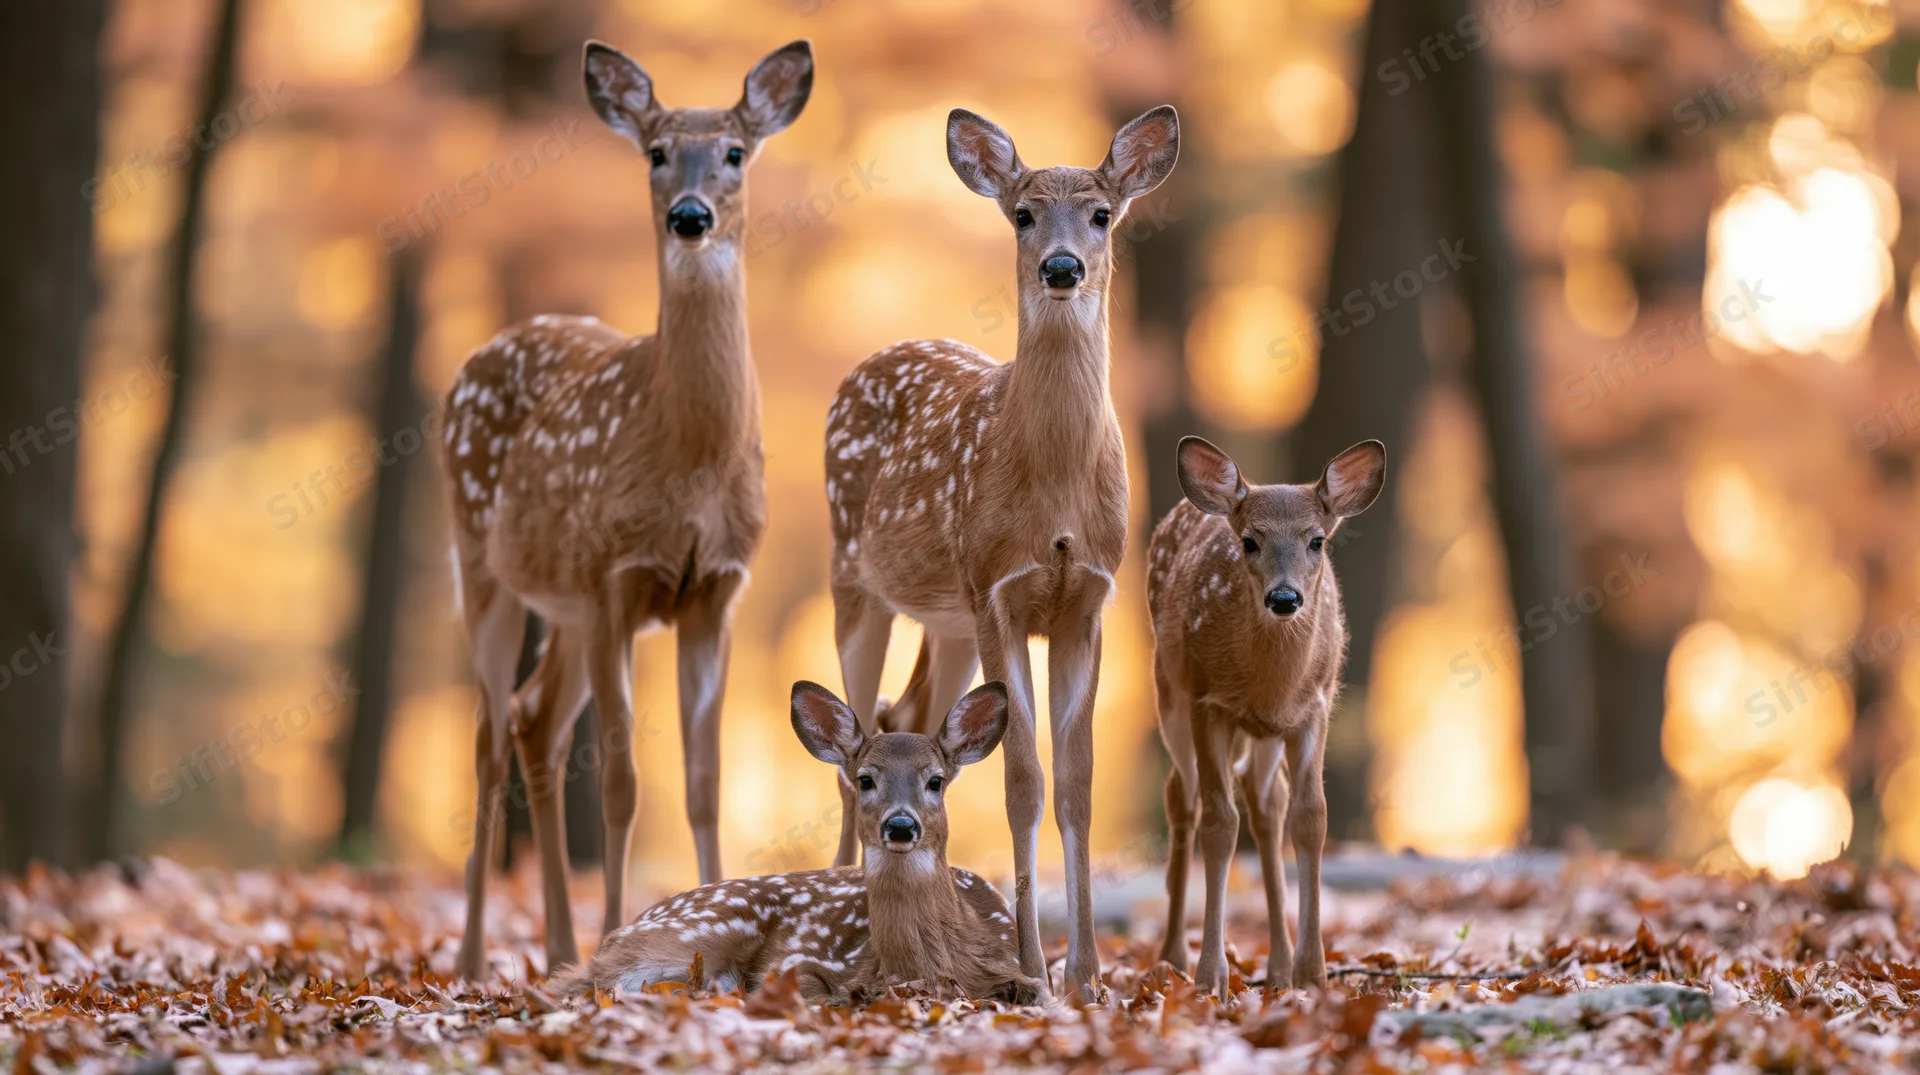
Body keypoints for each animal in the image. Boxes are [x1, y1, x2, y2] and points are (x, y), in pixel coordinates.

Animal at [440, 39, 813, 981]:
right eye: (654, 152)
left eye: (735, 152)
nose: (689, 215)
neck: (690, 458)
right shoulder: (617, 579)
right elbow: (621, 783)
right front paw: (616, 934)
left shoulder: (714, 592)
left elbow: (705, 782)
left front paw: (716, 910)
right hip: (484, 563)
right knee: (489, 735)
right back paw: (472, 959)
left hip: (565, 605)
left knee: (534, 722)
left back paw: (555, 948)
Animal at [554, 680, 1040, 1005]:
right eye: (865, 780)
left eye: (935, 780)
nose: (901, 825)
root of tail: (618, 934)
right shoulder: (799, 962)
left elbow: (1028, 990)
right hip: (709, 928)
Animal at [822, 106, 1180, 1002]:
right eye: (1022, 214)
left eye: (1102, 213)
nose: (1061, 267)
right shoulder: (998, 592)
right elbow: (1023, 781)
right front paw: (1033, 969)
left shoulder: (1088, 601)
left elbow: (1077, 782)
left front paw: (1086, 976)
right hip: (855, 579)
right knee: (850, 738)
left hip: (945, 620)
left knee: (904, 716)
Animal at [1147, 436, 1386, 995]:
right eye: (1249, 542)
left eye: (1317, 540)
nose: (1284, 597)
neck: (1272, 683)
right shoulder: (1207, 703)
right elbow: (1219, 824)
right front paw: (1211, 977)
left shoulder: (1314, 708)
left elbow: (1310, 818)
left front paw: (1313, 975)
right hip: (1169, 692)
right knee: (1182, 798)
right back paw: (1171, 957)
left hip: (1265, 734)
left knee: (1267, 805)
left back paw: (1277, 968)